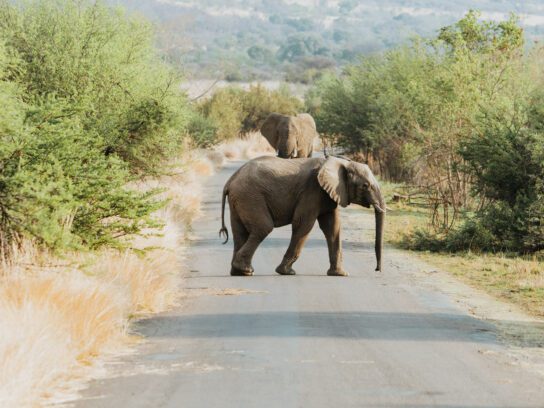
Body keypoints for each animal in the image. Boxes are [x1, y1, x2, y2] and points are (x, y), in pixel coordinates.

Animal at [219, 155, 384, 278]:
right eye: (365, 186)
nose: (377, 269)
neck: (341, 162)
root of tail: (230, 181)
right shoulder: (312, 190)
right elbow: (303, 223)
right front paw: (286, 272)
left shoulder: (327, 194)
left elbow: (332, 227)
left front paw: (340, 274)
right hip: (250, 197)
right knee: (263, 228)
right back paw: (246, 270)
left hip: (240, 199)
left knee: (240, 232)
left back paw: (239, 272)